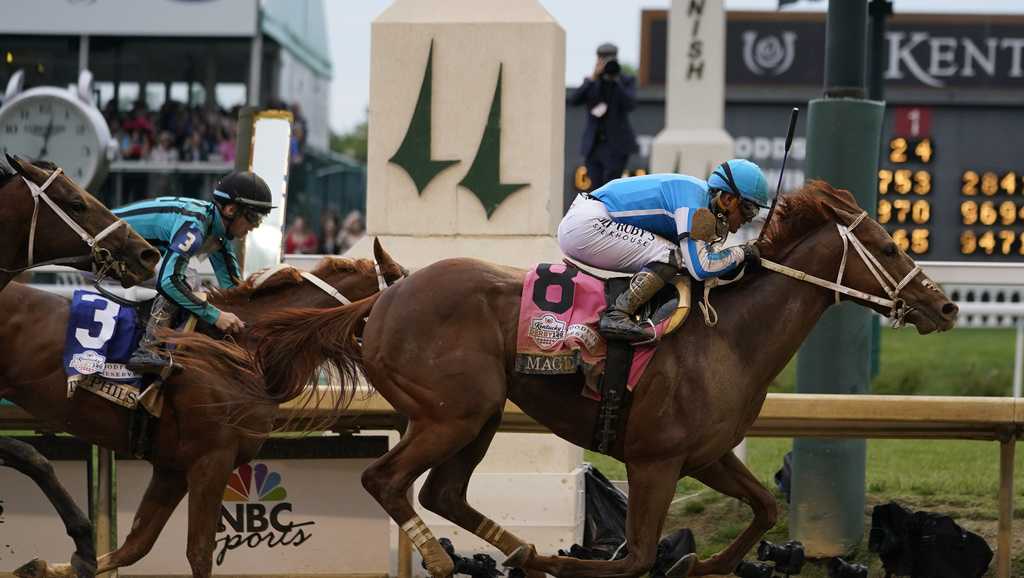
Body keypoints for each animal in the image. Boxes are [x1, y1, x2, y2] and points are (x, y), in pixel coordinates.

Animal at [0, 240, 407, 578]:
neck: (245, 349)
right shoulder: (212, 459)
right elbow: (198, 552)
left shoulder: (172, 468)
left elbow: (134, 547)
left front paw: (46, 566)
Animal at [174, 181, 958, 578]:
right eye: (890, 247)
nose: (946, 305)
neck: (728, 337)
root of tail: (383, 299)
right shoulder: (655, 459)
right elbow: (633, 558)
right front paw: (584, 559)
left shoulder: (705, 455)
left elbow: (764, 510)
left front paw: (704, 563)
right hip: (453, 413)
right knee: (387, 481)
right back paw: (455, 559)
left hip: (481, 413)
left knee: (445, 493)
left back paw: (517, 551)